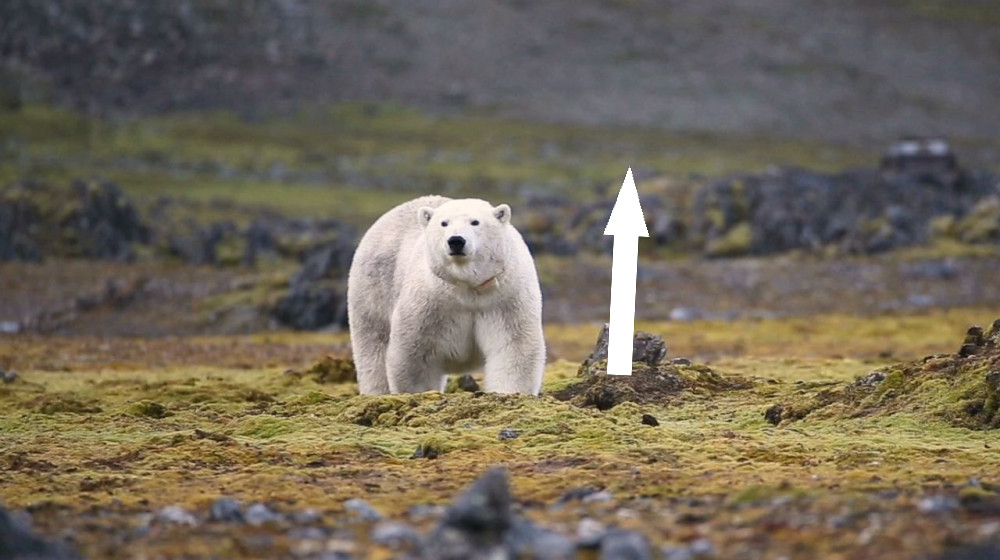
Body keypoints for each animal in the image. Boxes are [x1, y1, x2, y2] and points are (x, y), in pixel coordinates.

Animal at [347, 196, 545, 395]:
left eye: (475, 222)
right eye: (444, 223)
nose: (456, 240)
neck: (467, 288)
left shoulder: (504, 298)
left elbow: (513, 345)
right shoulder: (430, 302)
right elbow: (415, 353)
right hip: (374, 288)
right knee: (373, 345)